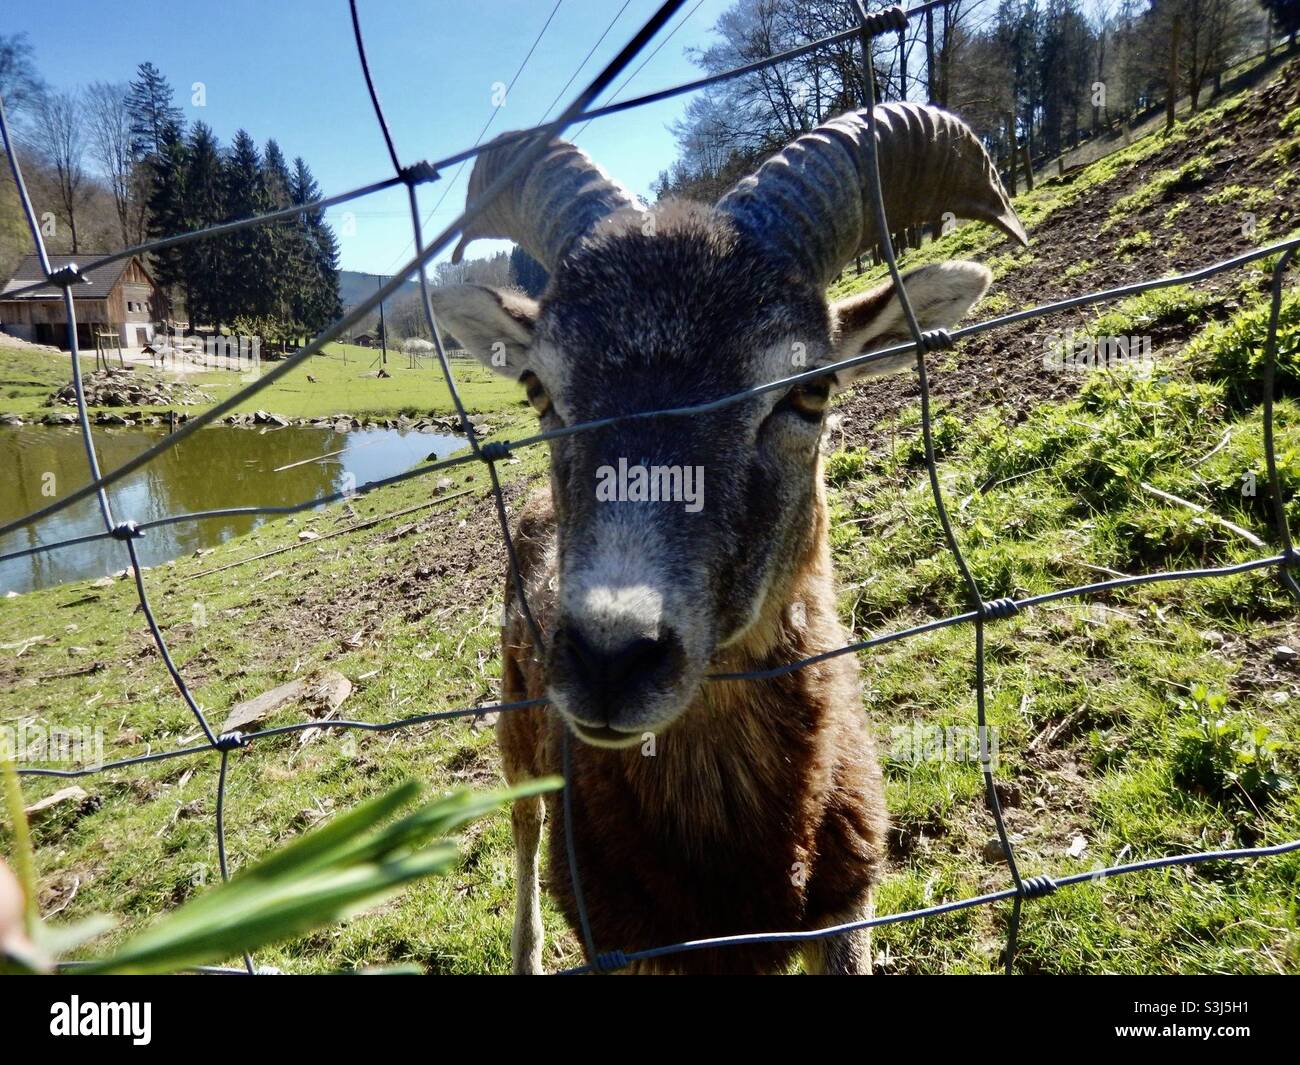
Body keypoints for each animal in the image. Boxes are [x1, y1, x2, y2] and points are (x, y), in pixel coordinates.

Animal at [431, 103, 1027, 974]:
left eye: (811, 389)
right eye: (539, 387)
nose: (610, 657)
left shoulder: (845, 904)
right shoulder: (625, 940)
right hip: (516, 725)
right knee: (522, 832)